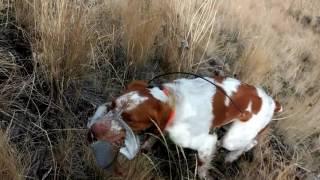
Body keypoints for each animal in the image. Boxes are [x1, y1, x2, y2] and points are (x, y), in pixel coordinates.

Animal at [86, 75, 282, 179]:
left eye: (130, 119)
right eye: (112, 105)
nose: (93, 131)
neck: (174, 101)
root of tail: (272, 102)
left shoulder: (207, 143)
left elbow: (202, 168)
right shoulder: (160, 128)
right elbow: (153, 137)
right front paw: (145, 148)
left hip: (233, 138)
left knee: (249, 143)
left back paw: (230, 158)